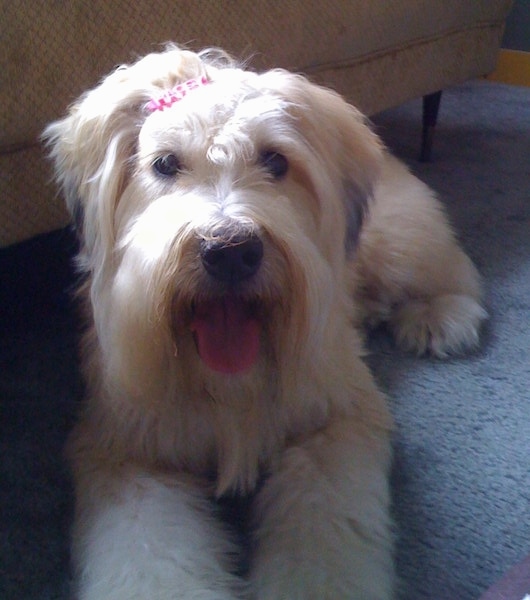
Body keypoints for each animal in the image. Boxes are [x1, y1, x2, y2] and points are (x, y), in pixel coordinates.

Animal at [43, 44, 484, 596]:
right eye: (164, 164)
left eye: (275, 160)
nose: (230, 252)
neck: (228, 384)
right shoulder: (130, 456)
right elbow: (151, 558)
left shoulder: (331, 427)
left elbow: (323, 537)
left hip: (400, 242)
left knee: (455, 270)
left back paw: (440, 318)